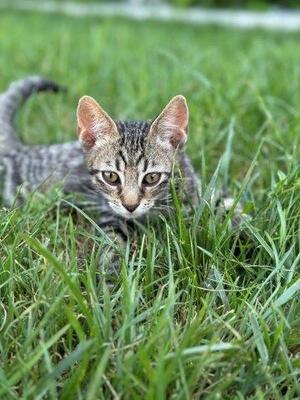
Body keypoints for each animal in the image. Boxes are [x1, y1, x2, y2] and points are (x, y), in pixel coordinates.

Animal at [1, 76, 200, 272]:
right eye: (111, 177)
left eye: (152, 178)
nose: (130, 206)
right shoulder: (110, 212)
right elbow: (112, 240)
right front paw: (110, 273)